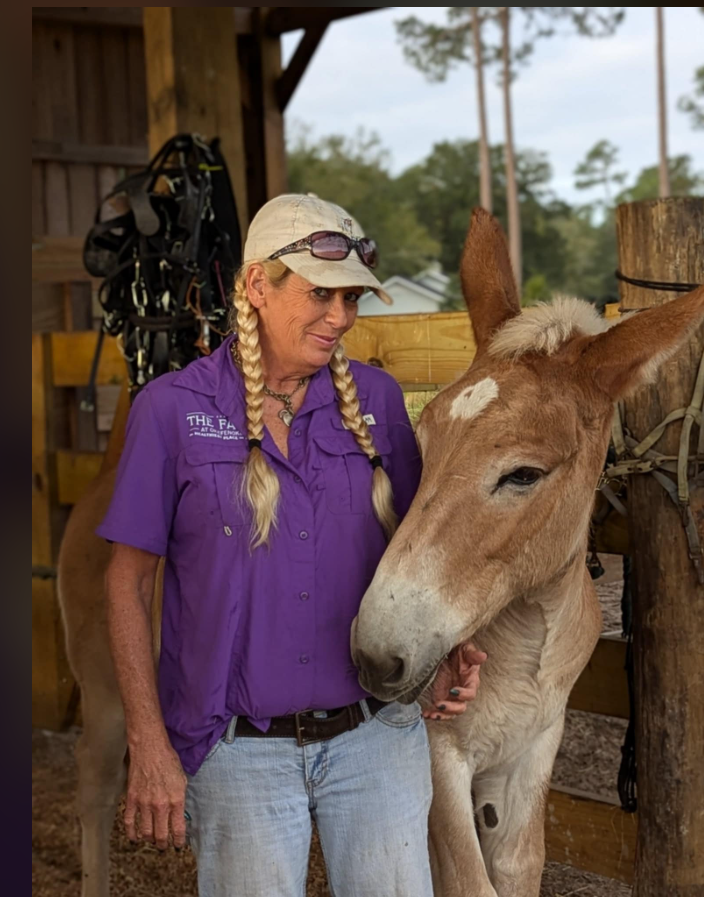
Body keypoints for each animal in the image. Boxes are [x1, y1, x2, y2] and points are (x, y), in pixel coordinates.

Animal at [351, 209, 704, 896]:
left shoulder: (529, 755)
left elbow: (518, 868)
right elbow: (469, 882)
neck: (527, 639)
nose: (376, 655)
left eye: (523, 474)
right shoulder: (439, 762)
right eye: (423, 444)